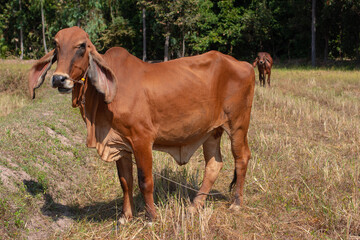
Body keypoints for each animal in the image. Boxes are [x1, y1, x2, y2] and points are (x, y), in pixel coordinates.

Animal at [28, 26, 256, 221]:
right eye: (56, 45)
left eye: (82, 46)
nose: (59, 79)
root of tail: (244, 64)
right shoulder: (119, 143)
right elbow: (125, 182)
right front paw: (125, 217)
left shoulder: (142, 139)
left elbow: (145, 181)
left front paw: (151, 218)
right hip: (211, 131)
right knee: (214, 164)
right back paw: (194, 206)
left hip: (237, 125)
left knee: (242, 158)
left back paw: (236, 203)